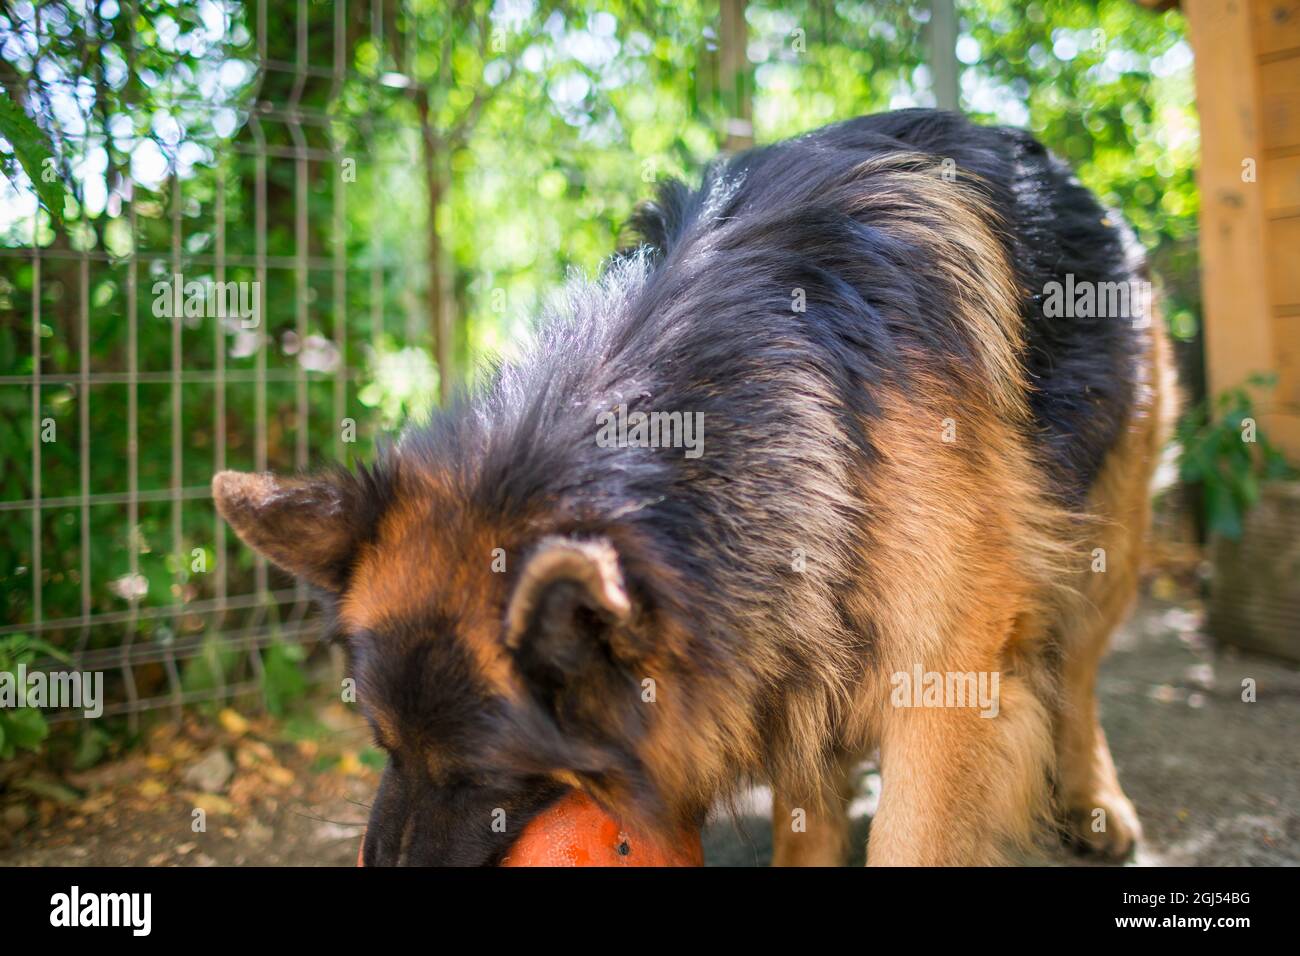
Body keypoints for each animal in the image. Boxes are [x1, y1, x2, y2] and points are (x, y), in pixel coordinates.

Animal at [215, 110, 1180, 868]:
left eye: (483, 777)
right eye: (381, 744)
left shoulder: (945, 674)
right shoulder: (794, 632)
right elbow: (805, 810)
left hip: (1104, 536)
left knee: (1079, 671)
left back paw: (1096, 799)